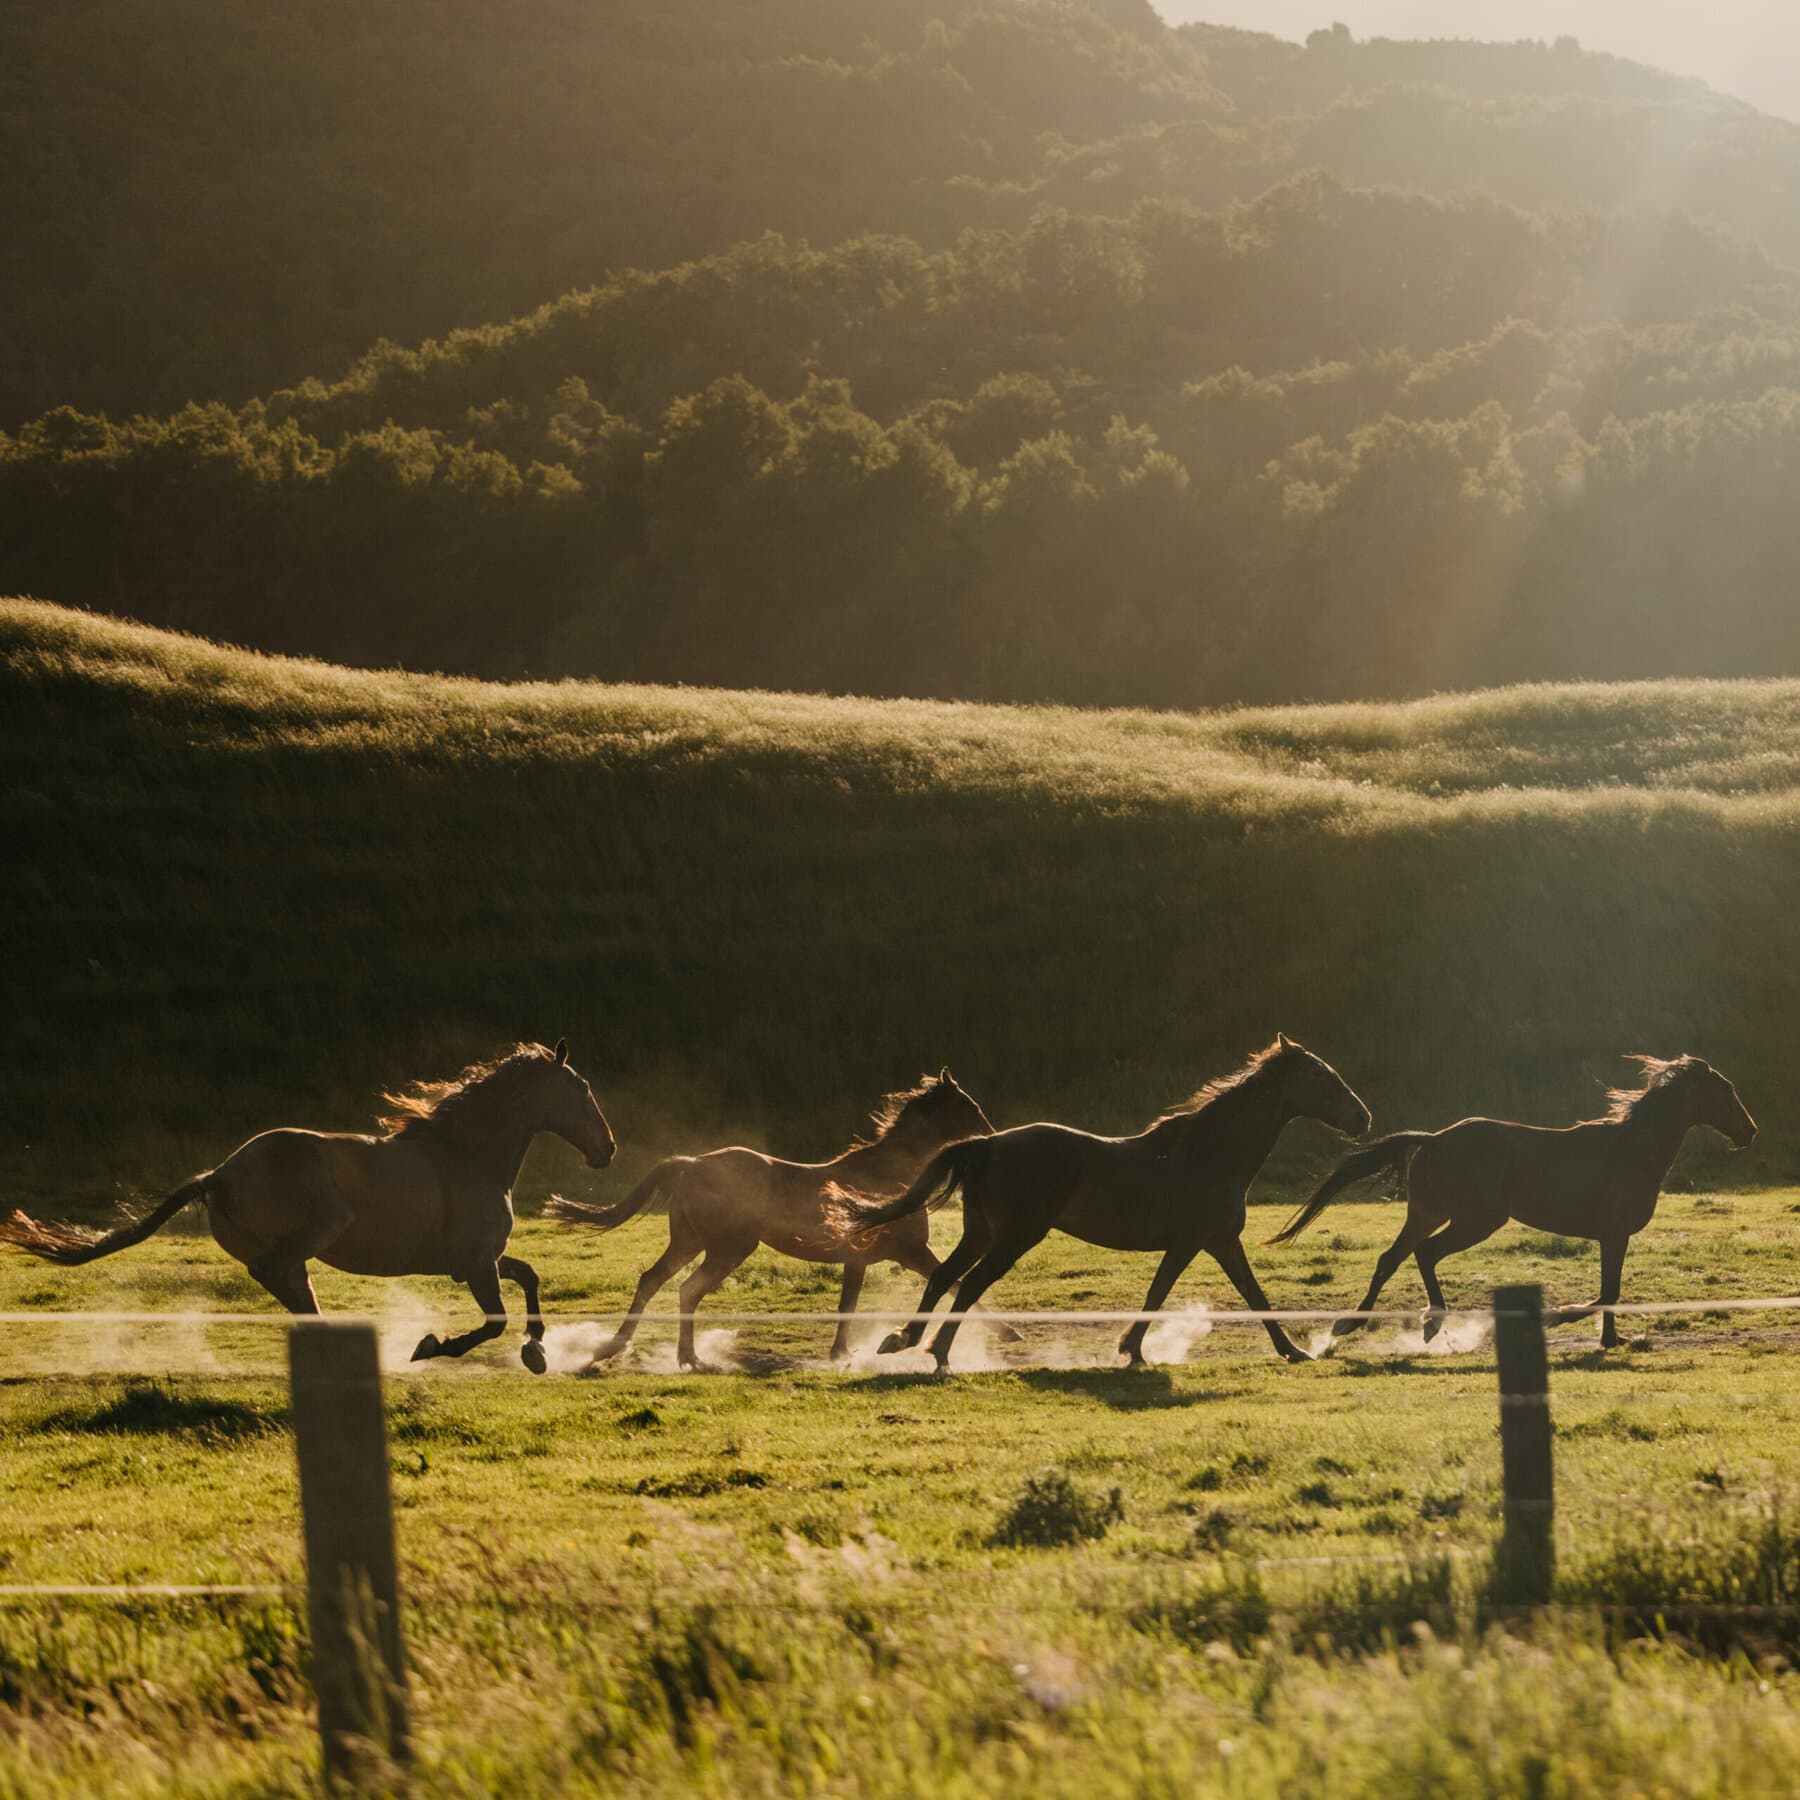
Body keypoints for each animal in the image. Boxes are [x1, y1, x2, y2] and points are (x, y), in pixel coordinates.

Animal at [0, 1040, 615, 1373]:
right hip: (319, 1229)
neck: (466, 1154)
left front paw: (537, 1351)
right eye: (582, 1089)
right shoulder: (475, 1264)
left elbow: (529, 1277)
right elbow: (494, 1321)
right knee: (277, 1276)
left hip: (296, 1256)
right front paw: (429, 1346)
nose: (607, 1149)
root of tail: (218, 1175)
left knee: (291, 1292)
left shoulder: (477, 1261)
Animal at [544, 1069, 996, 1369]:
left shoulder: (859, 1260)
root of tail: (692, 1163)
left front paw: (840, 1353)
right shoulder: (911, 1251)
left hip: (689, 1242)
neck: (888, 1176)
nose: (990, 1136)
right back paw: (691, 1359)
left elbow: (848, 1305)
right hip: (727, 1249)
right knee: (688, 1290)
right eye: (969, 1106)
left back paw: (615, 1347)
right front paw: (1005, 1331)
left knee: (652, 1281)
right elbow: (954, 1285)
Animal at [826, 1036, 1371, 1372]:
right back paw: (938, 1353)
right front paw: (1295, 1351)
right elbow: (1225, 1294)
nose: (1363, 1118)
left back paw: (903, 1340)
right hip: (1014, 1238)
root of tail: (988, 1143)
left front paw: (1132, 1350)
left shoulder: (1210, 1243)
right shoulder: (1204, 1241)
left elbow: (1207, 1294)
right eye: (1323, 1077)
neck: (1209, 1153)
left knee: (944, 1276)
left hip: (981, 1233)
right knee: (969, 1284)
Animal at [1266, 1053, 1757, 1350]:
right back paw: (1431, 1321)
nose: (1750, 1132)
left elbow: (1610, 1292)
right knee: (1424, 1254)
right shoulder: (1614, 1234)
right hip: (1476, 1220)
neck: (1632, 1149)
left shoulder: (1610, 1237)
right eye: (1728, 1089)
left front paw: (1608, 1340)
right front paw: (1562, 1320)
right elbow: (1609, 1293)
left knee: (1392, 1257)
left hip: (1429, 1213)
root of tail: (1433, 1139)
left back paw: (1349, 1323)